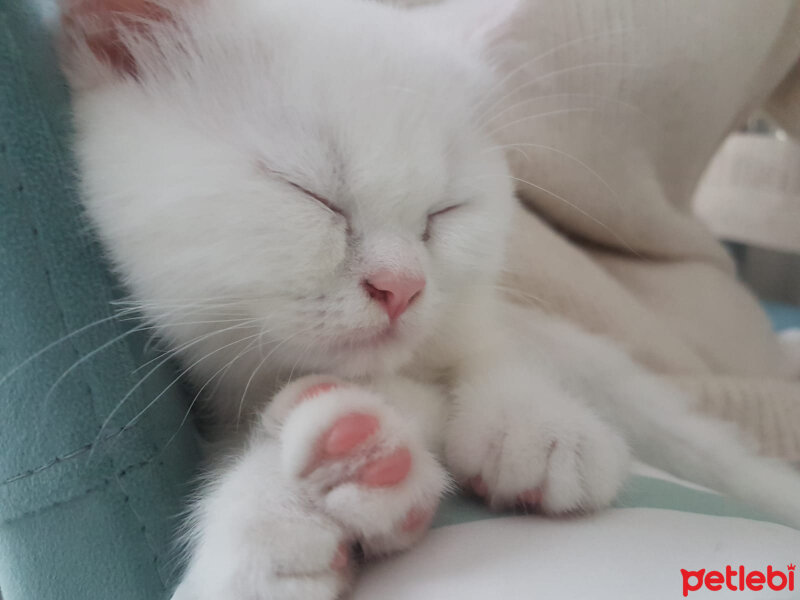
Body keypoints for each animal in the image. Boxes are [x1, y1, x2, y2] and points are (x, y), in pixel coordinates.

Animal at [59, 1, 800, 600]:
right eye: (309, 193)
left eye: (445, 211)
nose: (401, 285)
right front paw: (273, 520)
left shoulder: (485, 316)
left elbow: (489, 351)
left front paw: (533, 422)